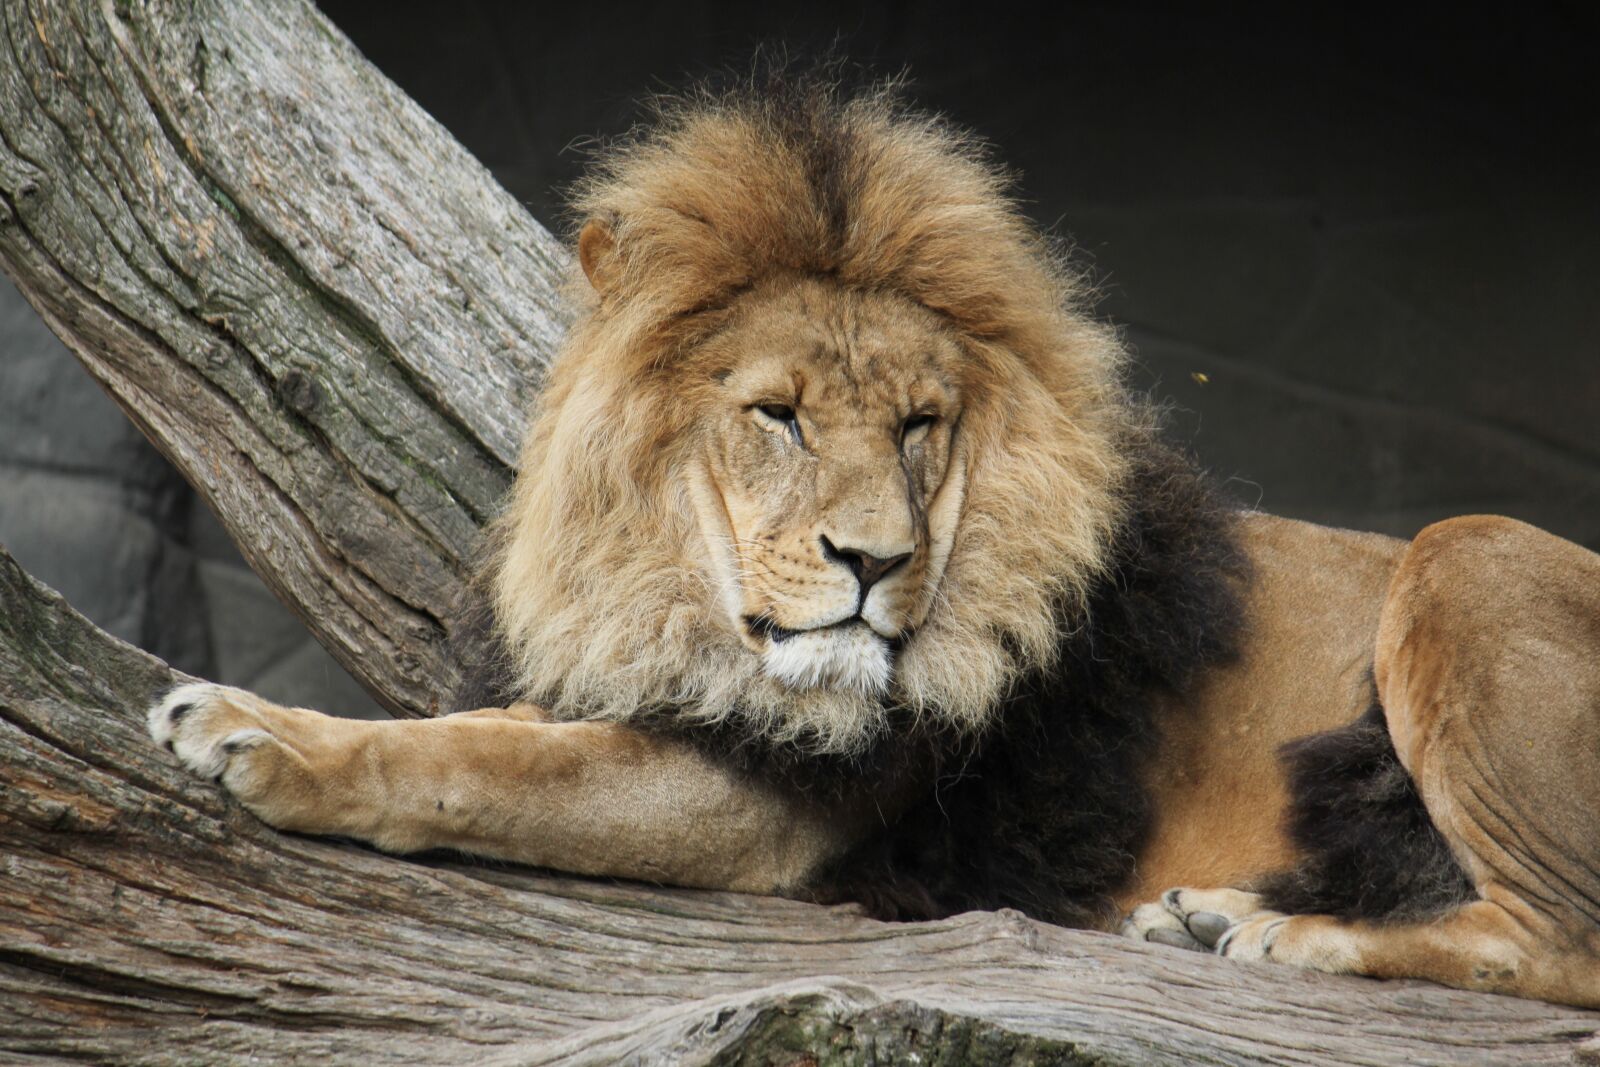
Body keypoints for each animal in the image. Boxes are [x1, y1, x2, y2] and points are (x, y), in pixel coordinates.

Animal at [147, 76, 1600, 1009]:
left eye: (920, 424)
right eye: (778, 414)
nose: (874, 561)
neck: (671, 595)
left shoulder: (775, 801)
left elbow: (485, 764)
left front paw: (257, 732)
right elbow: (496, 732)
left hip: (1459, 551)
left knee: (1563, 941)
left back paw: (1292, 935)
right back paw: (1217, 916)